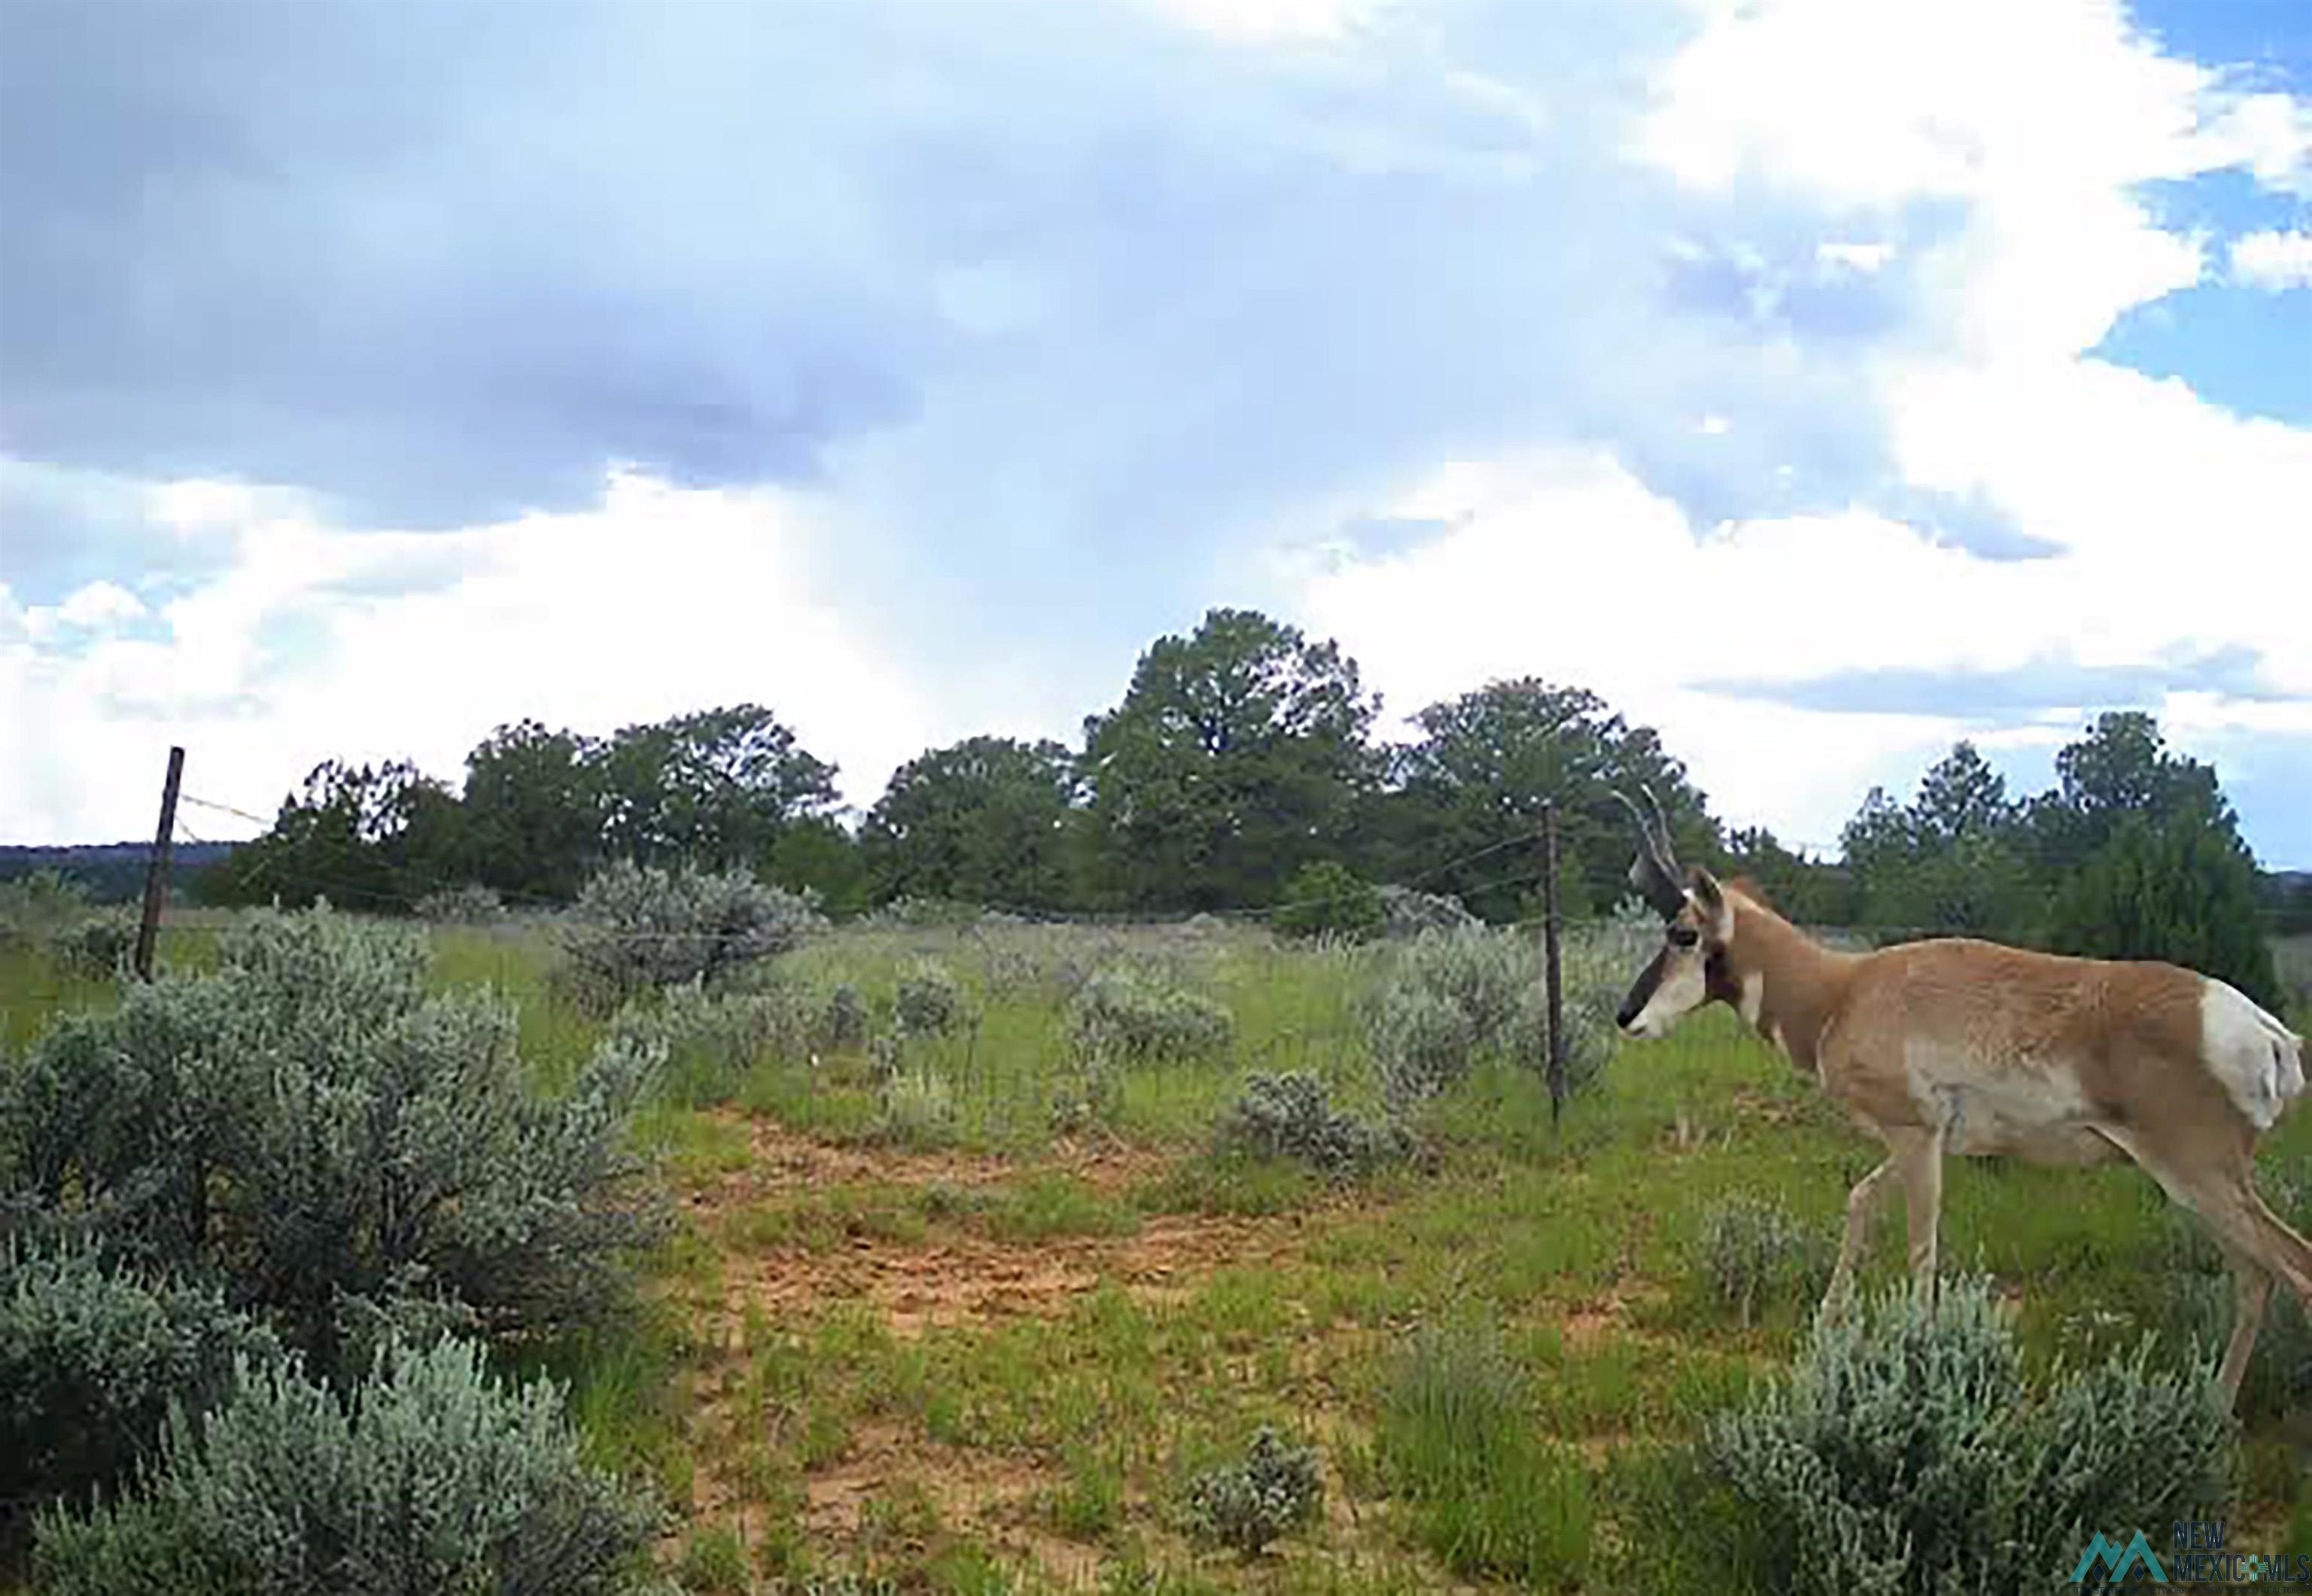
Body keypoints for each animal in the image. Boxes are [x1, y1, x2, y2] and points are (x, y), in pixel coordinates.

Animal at [1609, 786, 2312, 1406]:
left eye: (1682, 932)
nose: (1625, 1016)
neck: (1845, 989)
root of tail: (2262, 1028)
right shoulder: (1921, 1141)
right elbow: (1860, 1202)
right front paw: (1826, 1328)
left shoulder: (1916, 1137)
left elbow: (1922, 1252)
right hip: (2196, 1188)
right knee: (2256, 1275)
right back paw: (2215, 1405)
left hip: (2200, 1177)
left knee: (2291, 1265)